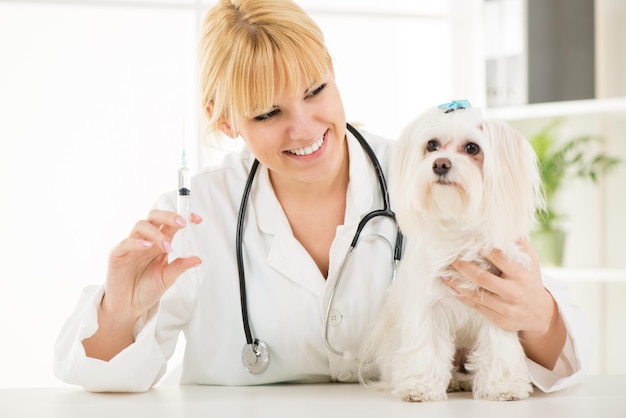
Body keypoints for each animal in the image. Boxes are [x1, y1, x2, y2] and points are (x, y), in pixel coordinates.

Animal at [360, 101, 540, 402]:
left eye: (472, 148)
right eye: (431, 145)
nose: (440, 164)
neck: (459, 230)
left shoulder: (500, 303)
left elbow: (498, 345)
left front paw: (502, 386)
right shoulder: (428, 304)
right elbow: (427, 346)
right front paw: (419, 387)